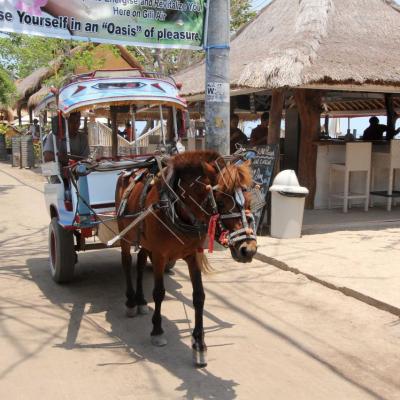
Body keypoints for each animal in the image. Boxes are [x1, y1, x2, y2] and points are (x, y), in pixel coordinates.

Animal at [115, 152, 260, 368]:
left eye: (249, 201)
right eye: (221, 202)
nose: (248, 250)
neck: (176, 207)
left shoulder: (193, 255)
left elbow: (199, 296)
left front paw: (199, 344)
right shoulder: (159, 255)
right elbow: (159, 293)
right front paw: (157, 331)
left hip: (144, 241)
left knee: (140, 263)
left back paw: (141, 300)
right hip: (125, 236)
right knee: (126, 263)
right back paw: (131, 302)